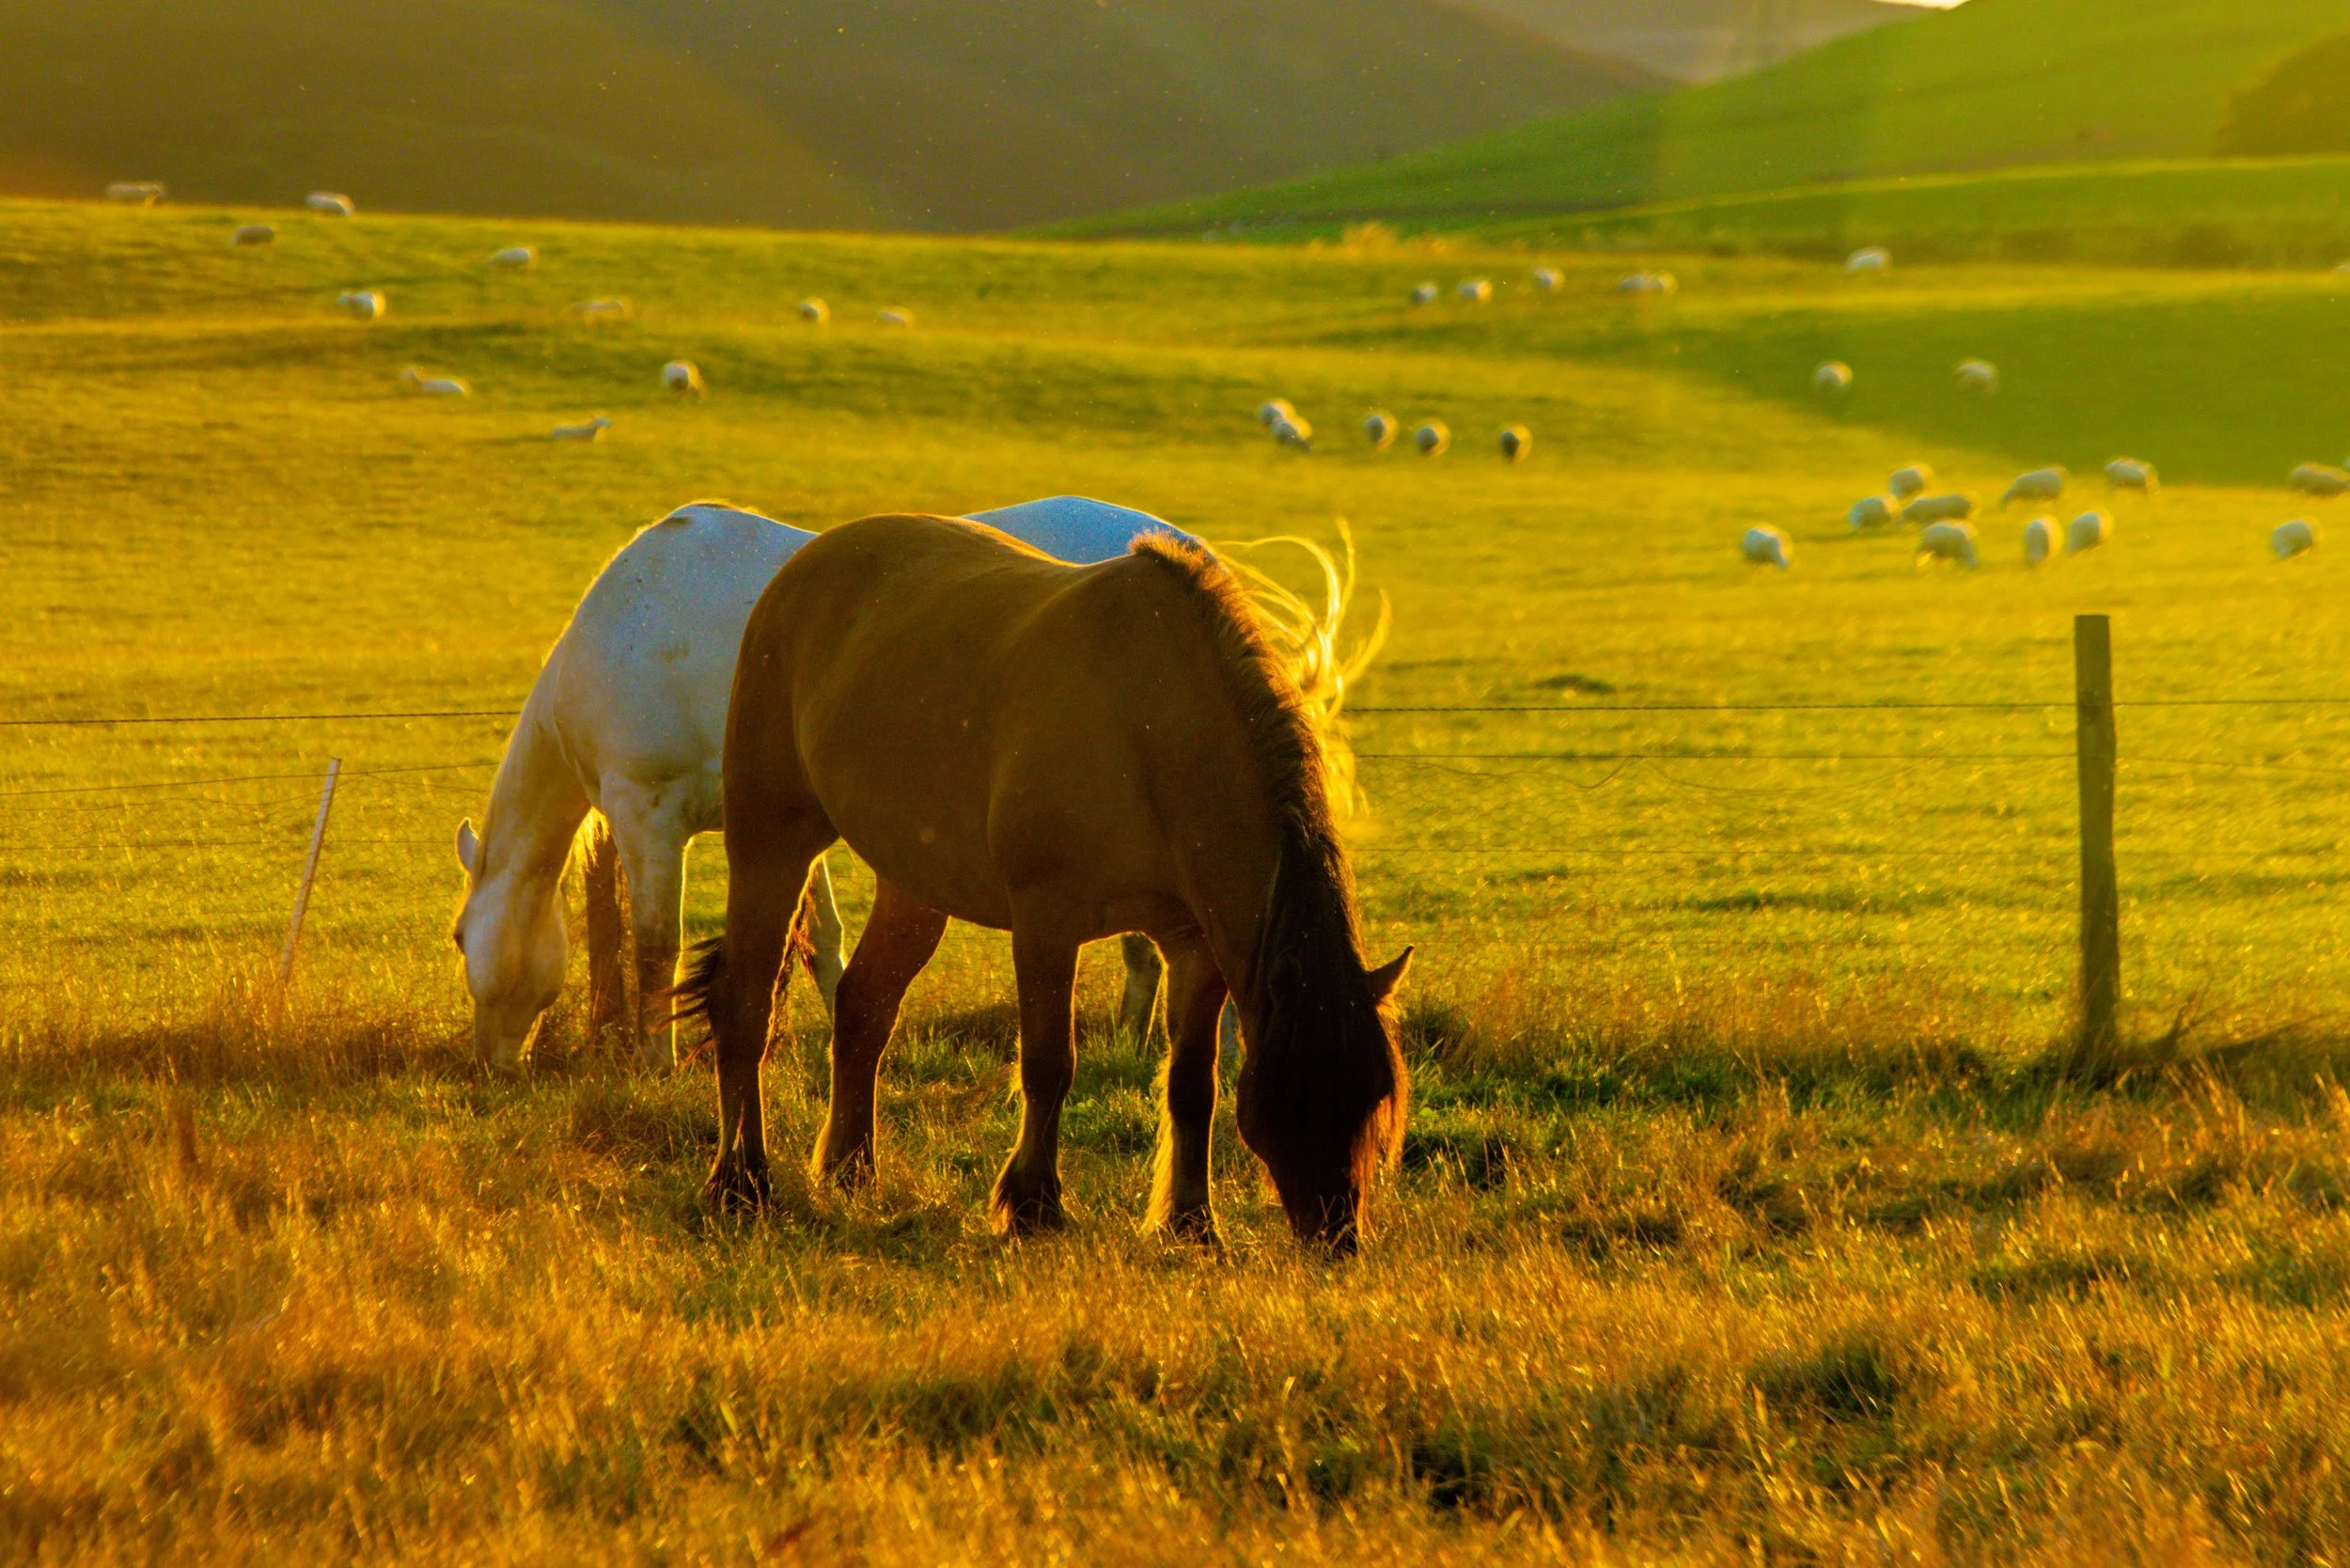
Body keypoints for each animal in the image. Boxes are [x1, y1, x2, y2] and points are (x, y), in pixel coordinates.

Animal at [674, 515, 1411, 1252]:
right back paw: (741, 1183)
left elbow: (1191, 1084)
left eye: (1375, 1093)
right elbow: (1051, 1064)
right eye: (1302, 1088)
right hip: (771, 845)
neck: (1149, 722)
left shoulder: (1196, 946)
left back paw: (852, 1172)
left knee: (863, 1006)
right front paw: (1033, 1206)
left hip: (913, 886)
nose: (1338, 1235)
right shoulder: (1045, 923)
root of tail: (805, 564)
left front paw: (1191, 1223)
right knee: (745, 1007)